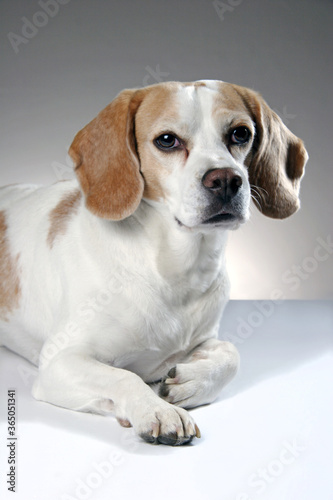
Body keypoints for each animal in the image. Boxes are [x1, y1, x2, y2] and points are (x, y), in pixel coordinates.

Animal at [0, 81, 306, 446]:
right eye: (167, 140)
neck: (173, 270)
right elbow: (123, 377)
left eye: (241, 133)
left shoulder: (207, 338)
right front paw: (157, 410)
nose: (226, 180)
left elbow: (231, 353)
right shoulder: (60, 361)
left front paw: (192, 382)